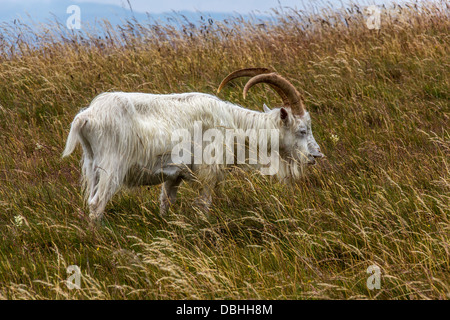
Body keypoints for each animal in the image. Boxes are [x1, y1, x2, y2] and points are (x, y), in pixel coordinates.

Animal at [62, 68, 324, 222]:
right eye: (302, 130)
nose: (316, 156)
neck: (231, 123)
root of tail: (86, 117)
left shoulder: (173, 175)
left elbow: (165, 202)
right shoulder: (207, 173)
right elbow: (203, 205)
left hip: (92, 166)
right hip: (112, 166)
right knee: (96, 204)